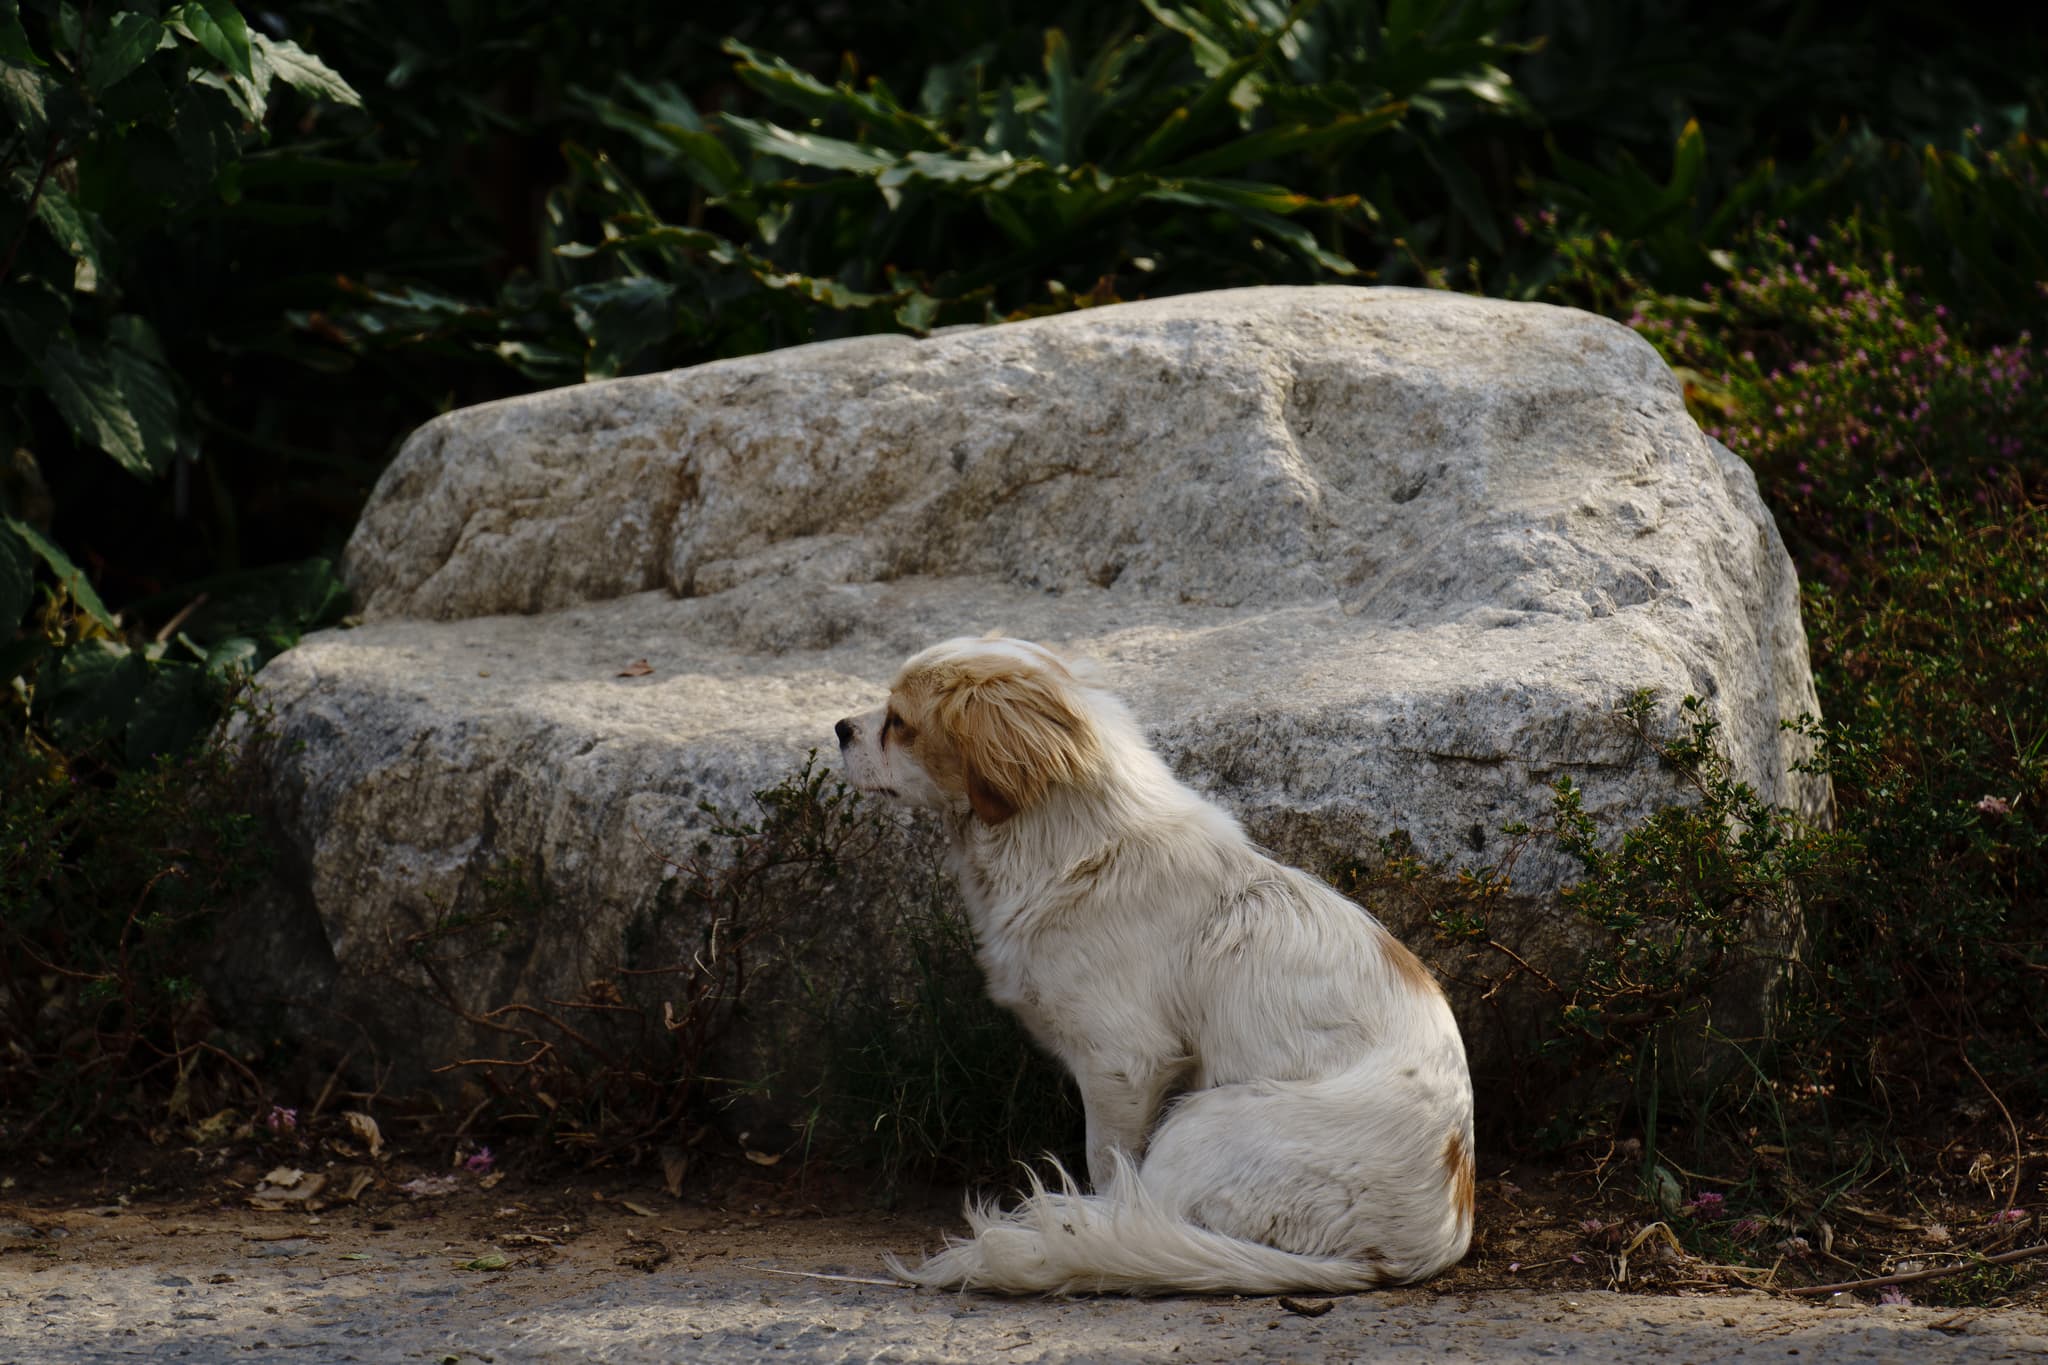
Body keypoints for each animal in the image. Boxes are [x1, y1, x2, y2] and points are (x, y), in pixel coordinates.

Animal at [831, 634, 1474, 1301]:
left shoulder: (1123, 1065)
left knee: (1143, 1218)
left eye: (900, 723)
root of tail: (1411, 1250)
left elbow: (1107, 1165)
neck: (1068, 850)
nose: (840, 728)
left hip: (1203, 1120)